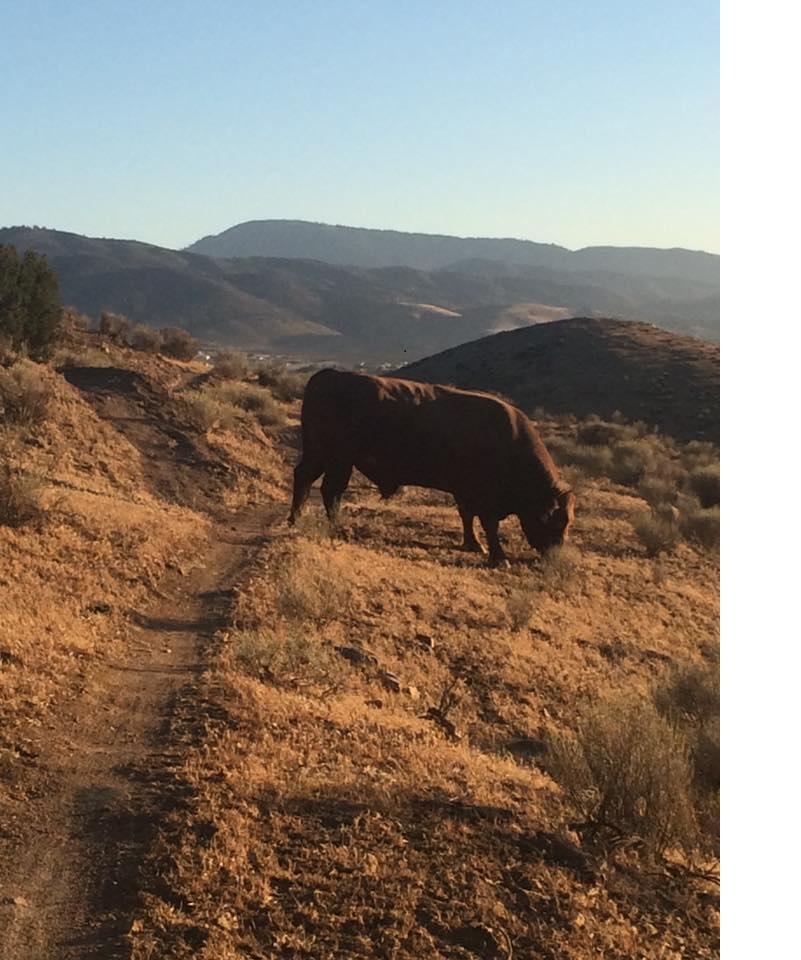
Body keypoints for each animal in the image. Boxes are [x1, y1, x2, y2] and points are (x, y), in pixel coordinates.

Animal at [287, 369, 575, 567]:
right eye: (557, 519)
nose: (555, 554)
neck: (509, 441)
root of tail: (328, 376)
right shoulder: (484, 498)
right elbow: (489, 525)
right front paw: (498, 556)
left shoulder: (464, 492)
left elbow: (467, 516)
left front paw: (473, 544)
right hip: (339, 460)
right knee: (331, 491)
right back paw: (337, 528)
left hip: (320, 456)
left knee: (304, 478)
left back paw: (295, 519)